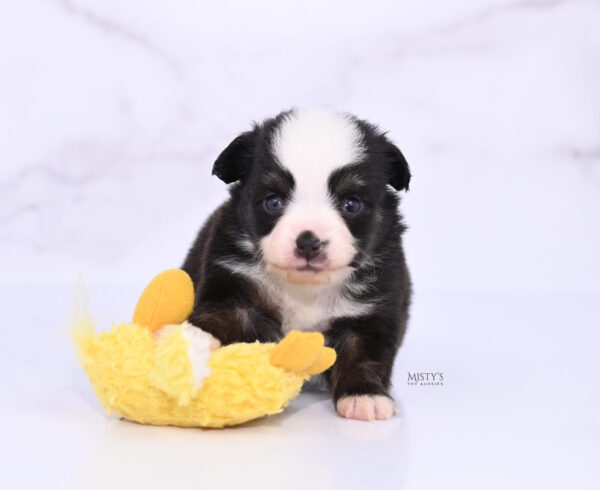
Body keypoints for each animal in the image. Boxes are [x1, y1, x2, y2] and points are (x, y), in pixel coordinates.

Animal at [183, 108, 412, 422]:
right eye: (273, 202)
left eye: (351, 204)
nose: (308, 242)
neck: (305, 289)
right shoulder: (234, 287)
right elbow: (218, 317)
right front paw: (190, 339)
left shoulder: (373, 310)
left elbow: (364, 355)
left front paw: (366, 397)